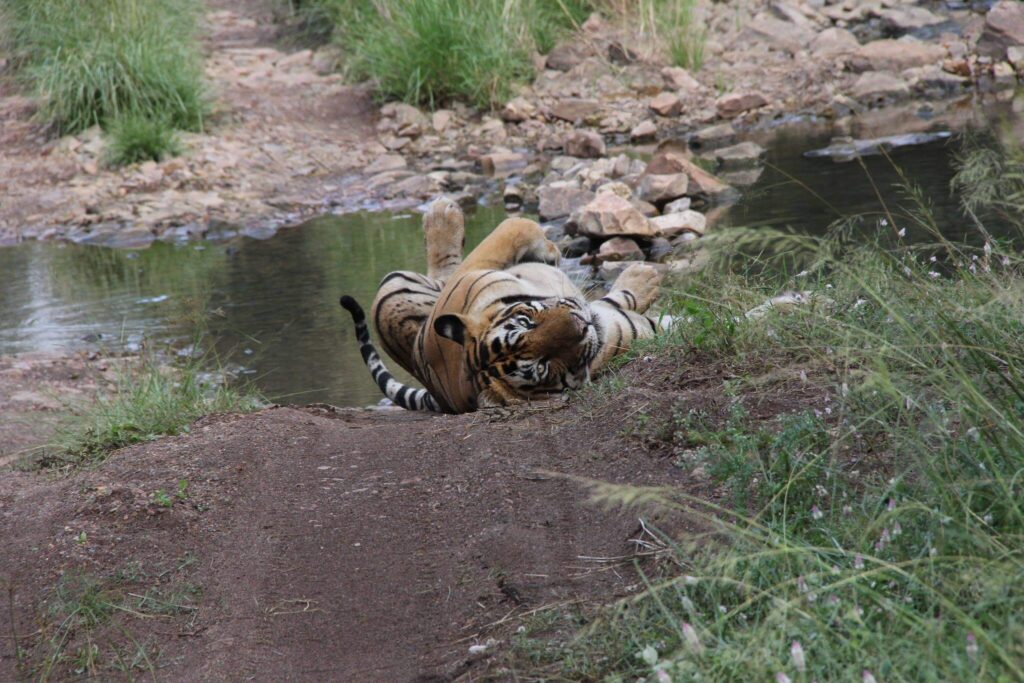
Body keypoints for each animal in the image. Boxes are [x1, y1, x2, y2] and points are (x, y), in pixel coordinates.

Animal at [339, 197, 666, 414]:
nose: (581, 326)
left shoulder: (478, 269)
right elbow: (518, 224)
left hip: (400, 287)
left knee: (444, 272)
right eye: (542, 366)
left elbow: (513, 227)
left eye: (526, 321)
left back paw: (440, 211)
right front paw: (644, 278)